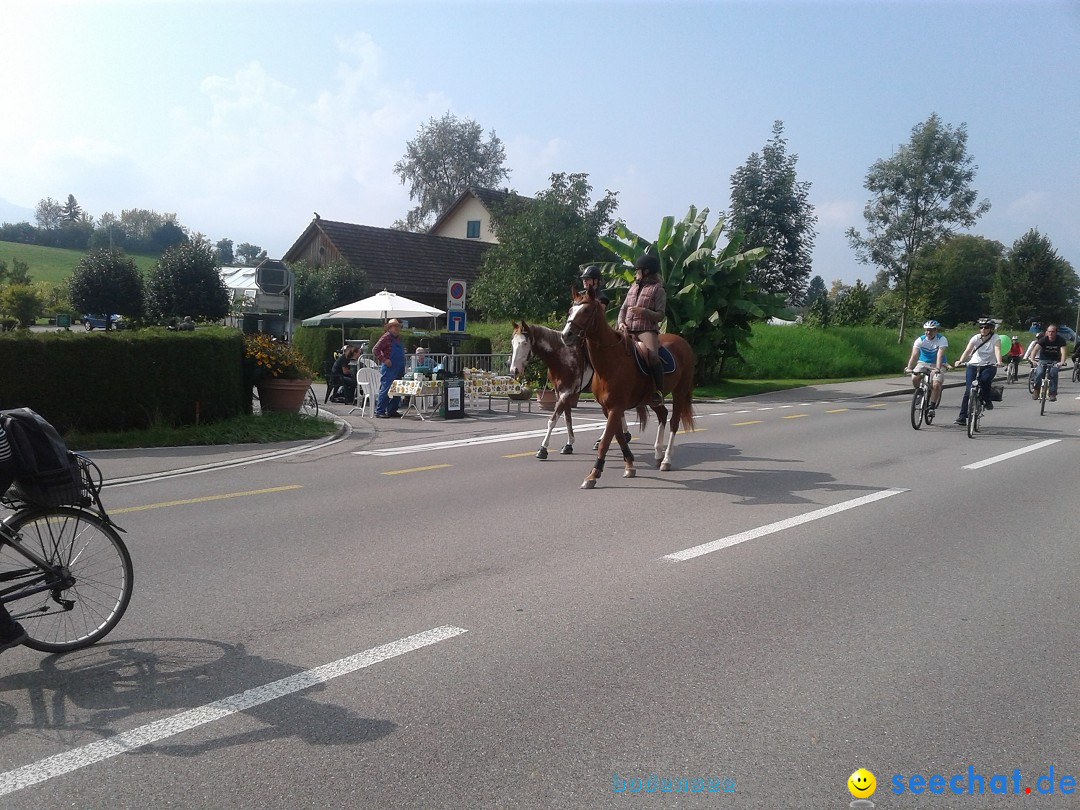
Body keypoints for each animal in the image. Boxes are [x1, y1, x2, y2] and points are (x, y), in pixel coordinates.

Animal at [561, 289, 695, 488]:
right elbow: (618, 437)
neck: (611, 361)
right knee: (663, 414)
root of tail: (683, 342)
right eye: (570, 310)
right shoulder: (608, 408)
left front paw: (593, 474)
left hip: (679, 392)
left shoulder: (616, 407)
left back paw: (666, 460)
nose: (566, 335)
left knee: (673, 422)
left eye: (586, 311)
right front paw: (630, 466)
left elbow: (606, 441)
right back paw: (658, 454)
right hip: (652, 399)